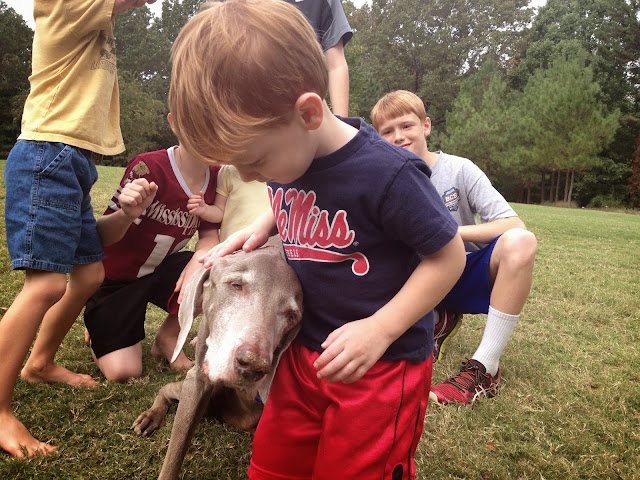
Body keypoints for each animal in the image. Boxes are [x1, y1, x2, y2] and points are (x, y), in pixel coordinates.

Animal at [131, 236, 302, 480]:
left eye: (291, 316)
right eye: (236, 285)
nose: (252, 366)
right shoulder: (198, 378)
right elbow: (175, 452)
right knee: (166, 388)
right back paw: (151, 416)